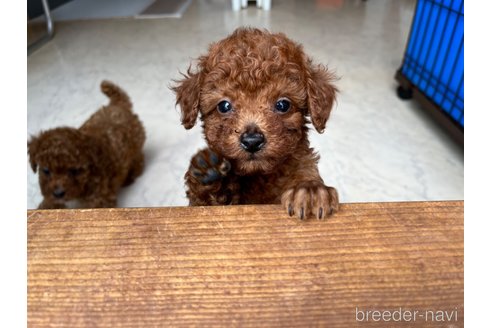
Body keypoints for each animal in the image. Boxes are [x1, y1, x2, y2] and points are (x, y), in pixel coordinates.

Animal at [27, 80, 145, 208]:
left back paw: (130, 177)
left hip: (135, 147)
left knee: (138, 161)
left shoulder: (99, 198)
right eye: (46, 170)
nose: (58, 193)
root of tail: (118, 105)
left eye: (74, 171)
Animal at [172, 26, 338, 219]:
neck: (258, 176)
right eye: (224, 106)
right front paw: (207, 170)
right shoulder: (200, 207)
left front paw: (310, 190)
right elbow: (205, 204)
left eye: (283, 105)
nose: (252, 141)